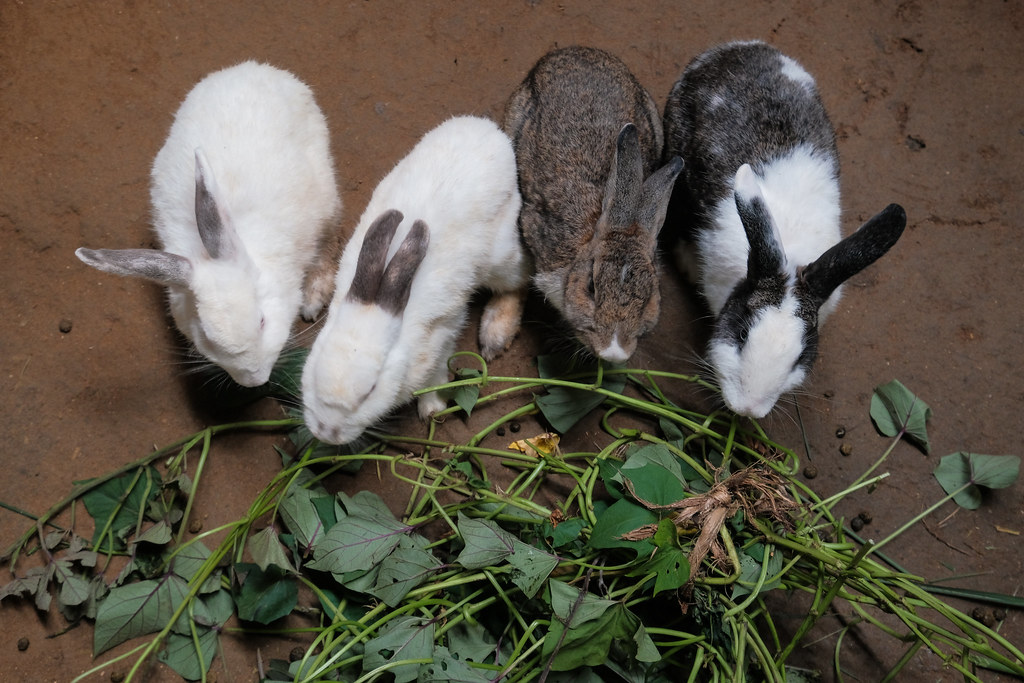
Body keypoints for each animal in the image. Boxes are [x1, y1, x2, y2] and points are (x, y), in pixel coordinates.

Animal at [301, 115, 529, 445]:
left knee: (521, 281)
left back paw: (495, 333)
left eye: (370, 390)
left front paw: (432, 409)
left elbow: (437, 372)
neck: (380, 303)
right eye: (315, 372)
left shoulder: (443, 332)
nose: (326, 434)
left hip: (503, 257)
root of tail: (488, 129)